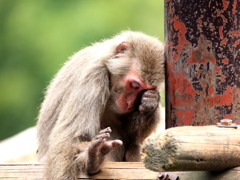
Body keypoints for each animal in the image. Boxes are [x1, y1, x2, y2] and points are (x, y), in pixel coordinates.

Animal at [37, 30, 165, 179]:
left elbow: (132, 135)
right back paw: (94, 159)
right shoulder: (94, 76)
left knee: (134, 145)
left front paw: (150, 102)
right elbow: (69, 135)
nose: (129, 103)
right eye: (134, 85)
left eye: (145, 89)